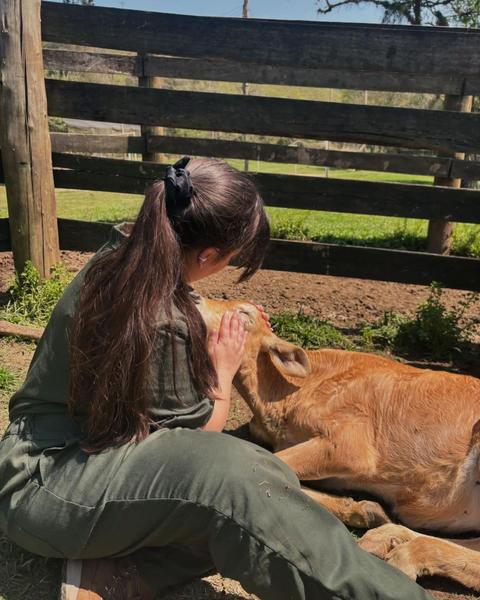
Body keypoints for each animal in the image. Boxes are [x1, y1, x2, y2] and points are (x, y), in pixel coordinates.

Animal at [198, 296, 480, 592]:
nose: (195, 297)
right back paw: (387, 537)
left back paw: (405, 557)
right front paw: (366, 510)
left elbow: (271, 465)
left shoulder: (351, 446)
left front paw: (365, 510)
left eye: (244, 313)